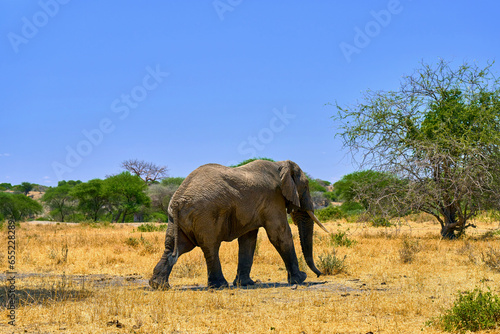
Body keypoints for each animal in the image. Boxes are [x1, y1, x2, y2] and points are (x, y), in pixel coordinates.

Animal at [148, 160, 328, 290]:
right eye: (306, 186)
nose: (320, 275)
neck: (280, 164)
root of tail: (178, 200)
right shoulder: (273, 198)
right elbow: (279, 234)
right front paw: (300, 279)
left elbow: (248, 240)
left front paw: (246, 283)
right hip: (205, 216)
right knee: (210, 247)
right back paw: (220, 285)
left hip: (176, 219)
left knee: (174, 246)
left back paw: (158, 285)